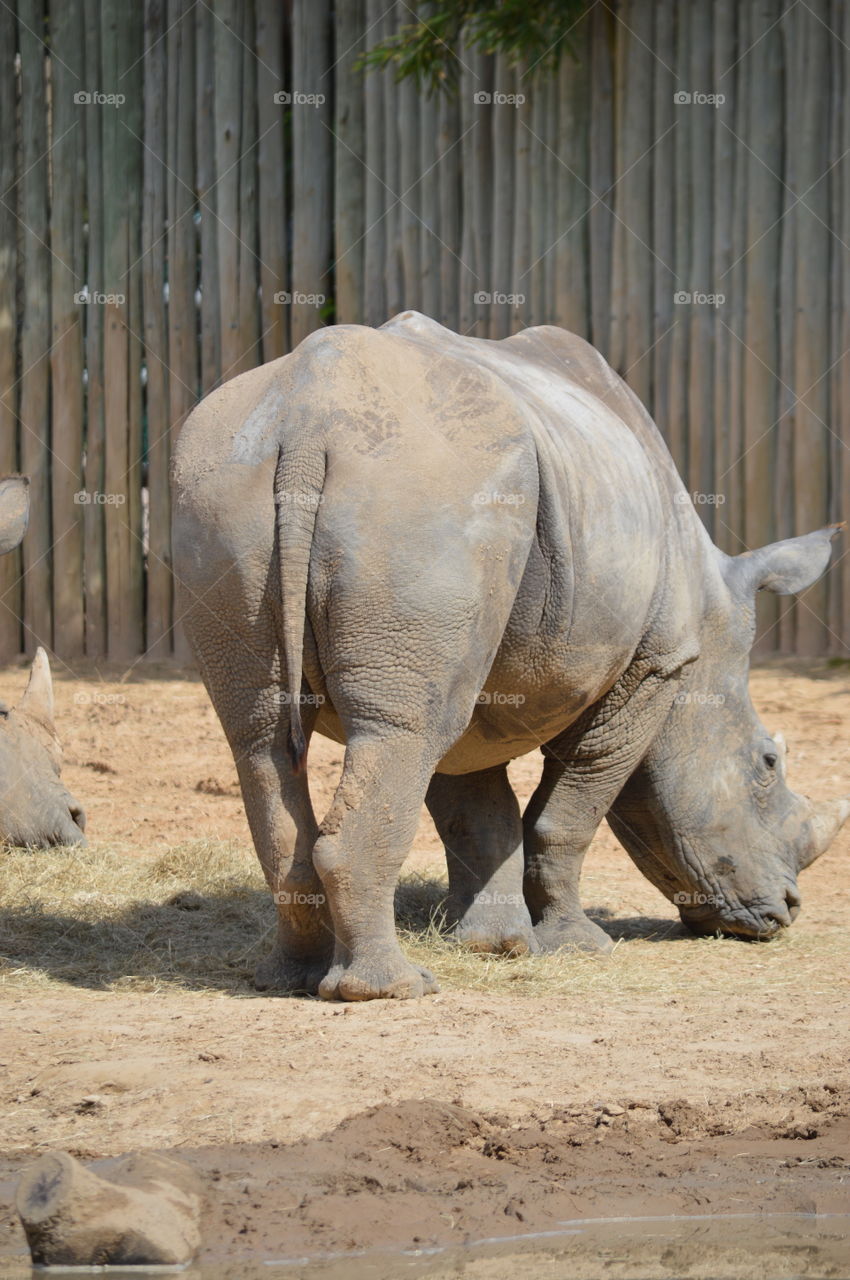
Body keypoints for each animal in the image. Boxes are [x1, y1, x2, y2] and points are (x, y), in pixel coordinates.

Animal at [172, 313, 848, 1001]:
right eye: (766, 764)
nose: (787, 911)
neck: (708, 639)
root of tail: (310, 415)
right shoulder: (656, 665)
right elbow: (566, 812)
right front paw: (576, 946)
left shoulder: (477, 664)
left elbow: (476, 811)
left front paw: (492, 945)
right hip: (429, 489)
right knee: (402, 731)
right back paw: (393, 989)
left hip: (225, 478)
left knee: (269, 734)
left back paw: (290, 979)